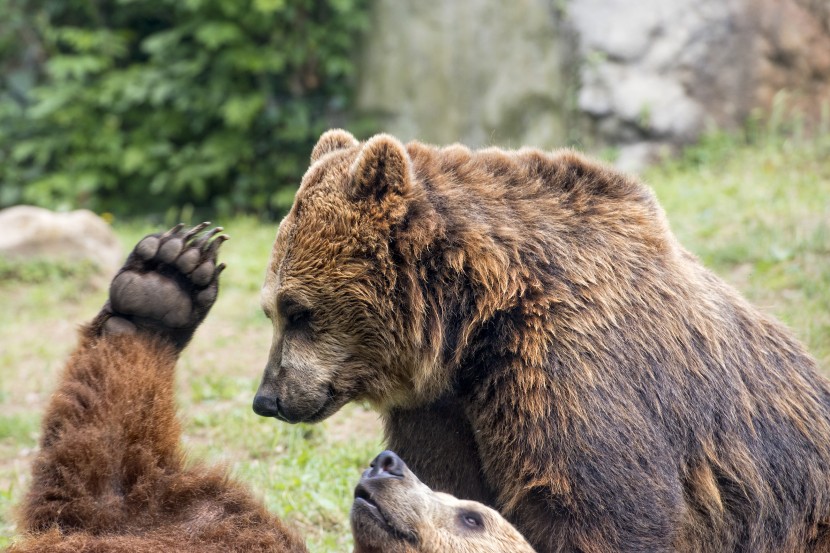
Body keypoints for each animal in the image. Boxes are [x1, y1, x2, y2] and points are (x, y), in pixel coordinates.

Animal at [252, 130, 830, 552]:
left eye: (298, 311)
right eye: (271, 310)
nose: (267, 398)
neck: (472, 326)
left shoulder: (571, 365)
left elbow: (601, 508)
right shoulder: (444, 409)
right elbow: (444, 479)